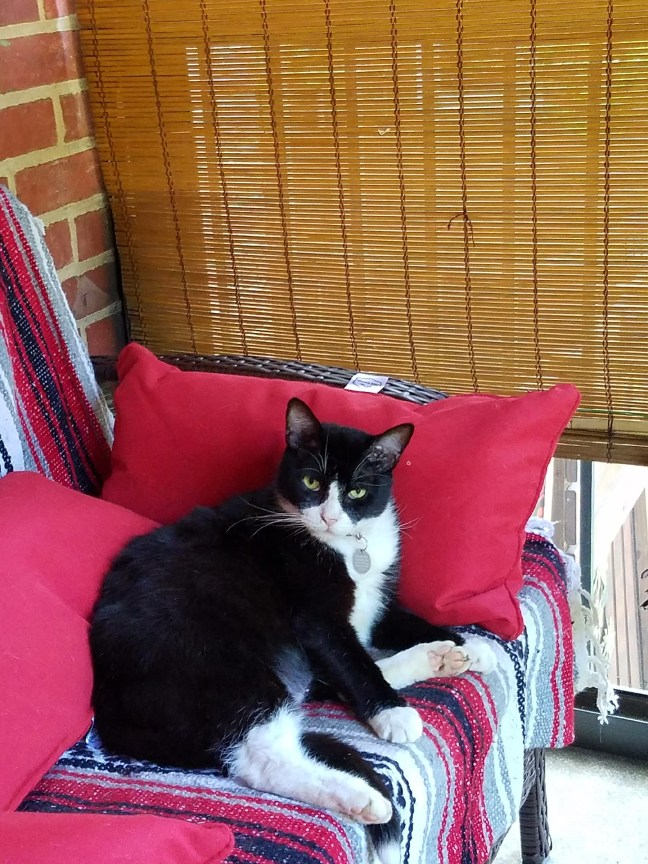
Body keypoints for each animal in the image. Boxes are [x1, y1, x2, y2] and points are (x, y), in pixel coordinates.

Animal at [90, 397, 495, 864]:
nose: (329, 516)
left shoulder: (377, 605)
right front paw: (393, 712)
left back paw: (438, 656)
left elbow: (394, 632)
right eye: (311, 480)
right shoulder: (316, 618)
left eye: (357, 491)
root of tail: (108, 705)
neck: (346, 547)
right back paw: (362, 797)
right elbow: (354, 662)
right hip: (218, 664)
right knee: (261, 755)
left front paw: (473, 646)